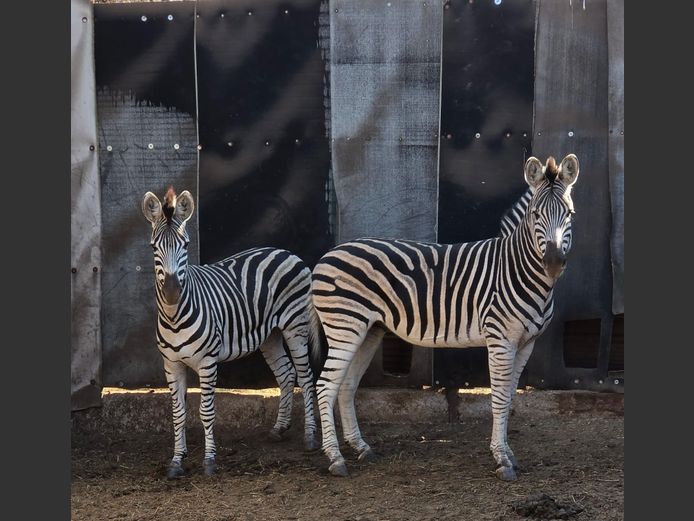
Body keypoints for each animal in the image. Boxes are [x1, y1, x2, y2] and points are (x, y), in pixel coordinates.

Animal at [141, 187, 320, 478]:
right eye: (153, 247)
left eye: (186, 245)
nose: (171, 291)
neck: (174, 316)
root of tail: (287, 252)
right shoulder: (171, 364)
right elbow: (177, 414)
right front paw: (177, 461)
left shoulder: (207, 362)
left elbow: (206, 411)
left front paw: (209, 461)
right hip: (270, 335)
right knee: (286, 373)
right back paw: (279, 429)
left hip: (295, 325)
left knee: (305, 377)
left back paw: (310, 437)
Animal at [311, 154, 579, 481]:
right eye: (535, 214)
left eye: (569, 213)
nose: (553, 263)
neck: (517, 270)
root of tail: (328, 254)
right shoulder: (501, 339)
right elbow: (499, 398)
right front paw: (501, 458)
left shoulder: (527, 343)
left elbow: (510, 398)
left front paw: (508, 453)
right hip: (344, 326)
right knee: (325, 386)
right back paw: (335, 458)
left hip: (368, 330)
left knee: (346, 386)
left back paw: (361, 448)